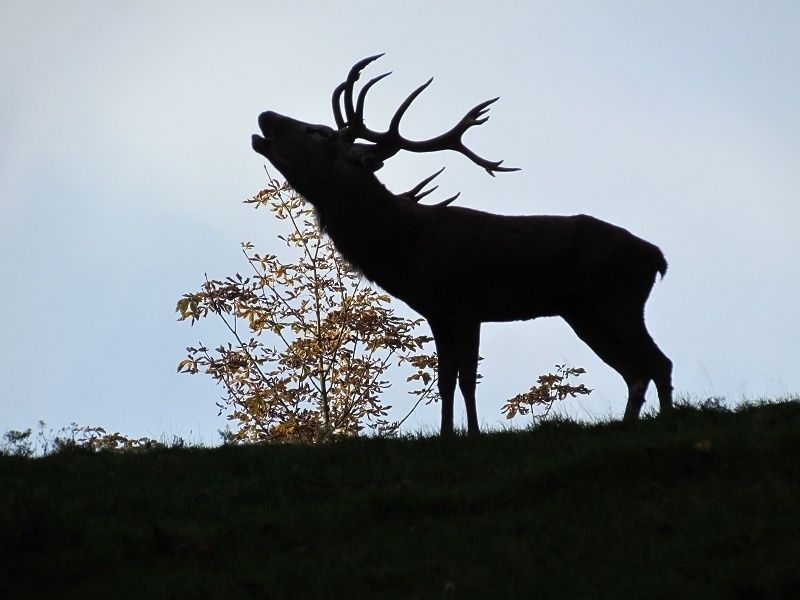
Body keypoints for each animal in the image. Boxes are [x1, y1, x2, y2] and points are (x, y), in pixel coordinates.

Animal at [248, 55, 668, 436]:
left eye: (319, 132)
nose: (265, 116)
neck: (406, 248)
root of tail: (658, 258)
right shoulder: (437, 312)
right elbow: (445, 378)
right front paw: (448, 434)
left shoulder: (466, 304)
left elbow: (467, 378)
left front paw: (475, 435)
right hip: (583, 313)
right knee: (635, 372)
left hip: (619, 299)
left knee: (659, 363)